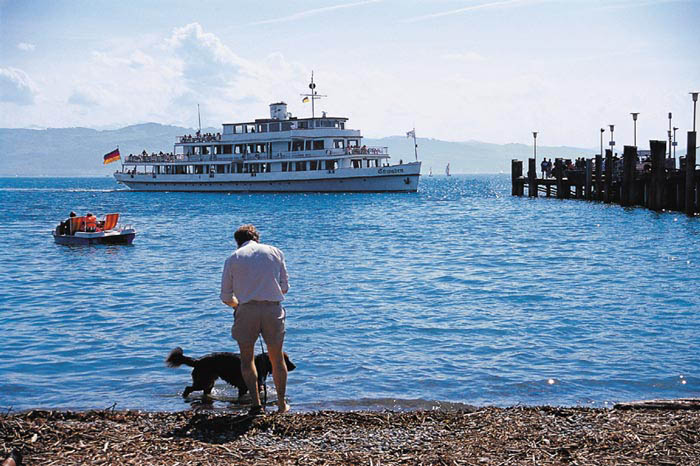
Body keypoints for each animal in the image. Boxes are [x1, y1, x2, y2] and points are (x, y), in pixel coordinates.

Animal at [166, 348, 296, 398]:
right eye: (286, 360)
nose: (295, 366)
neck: (260, 364)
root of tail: (197, 361)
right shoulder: (243, 387)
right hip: (202, 382)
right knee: (188, 388)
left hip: (208, 383)